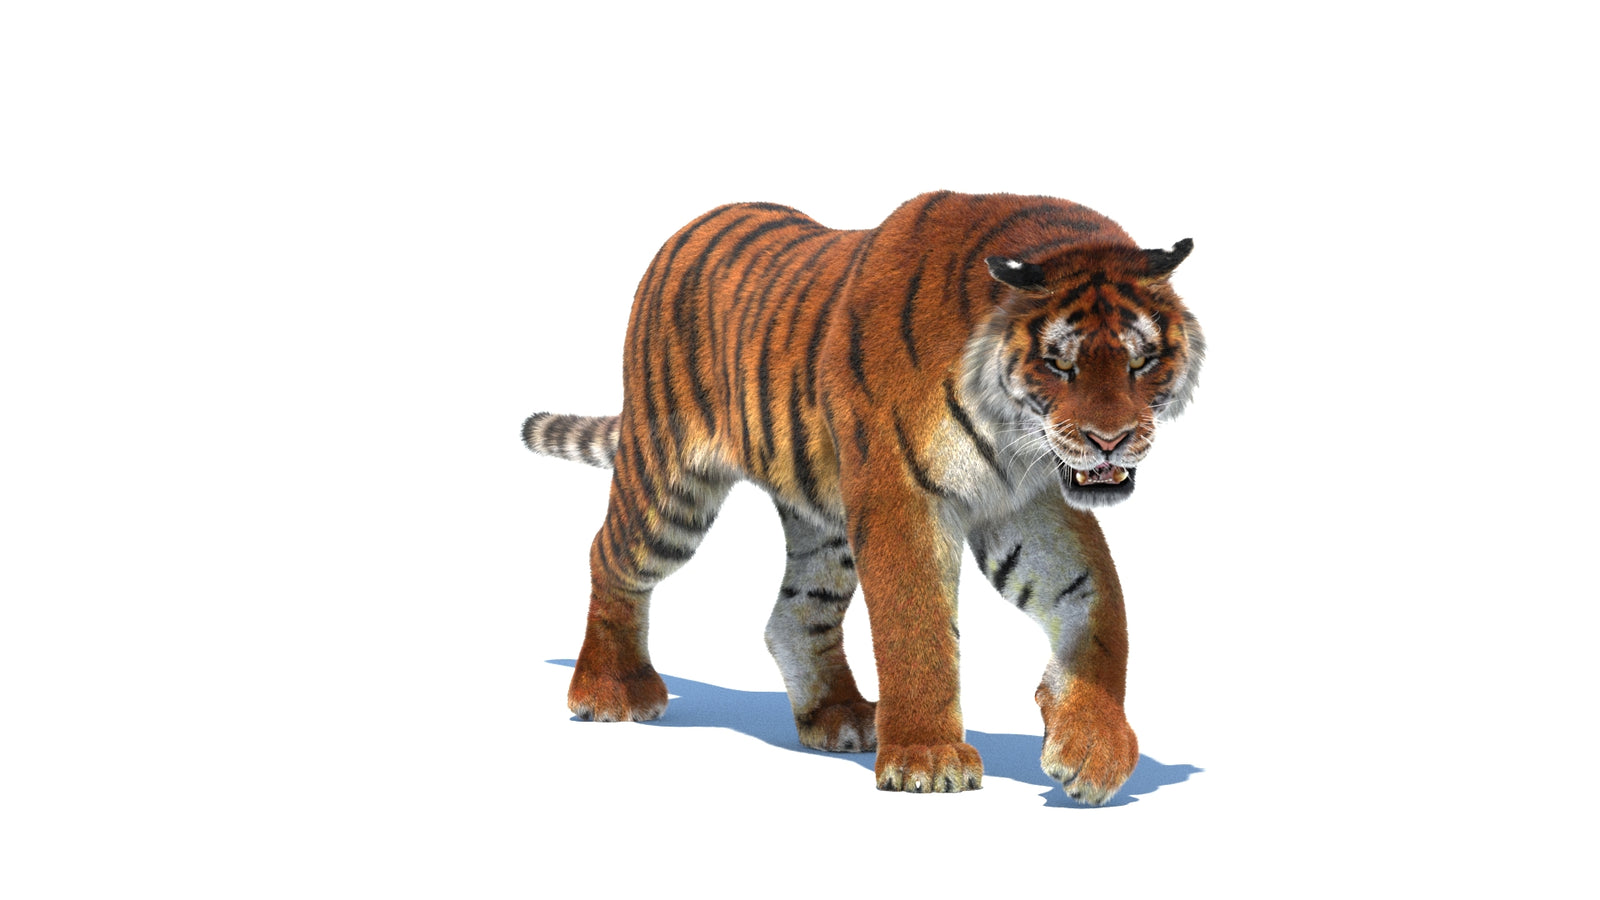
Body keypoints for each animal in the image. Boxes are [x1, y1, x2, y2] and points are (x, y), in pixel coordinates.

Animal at [521, 191, 1203, 804]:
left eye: (1141, 363)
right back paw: (609, 691)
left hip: (825, 520)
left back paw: (839, 716)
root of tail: (688, 228)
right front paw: (929, 760)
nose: (1110, 440)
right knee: (610, 555)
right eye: (1060, 365)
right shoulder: (901, 494)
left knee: (794, 615)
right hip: (670, 485)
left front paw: (1093, 747)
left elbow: (1097, 602)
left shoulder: (1021, 502)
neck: (1011, 431)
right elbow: (916, 626)